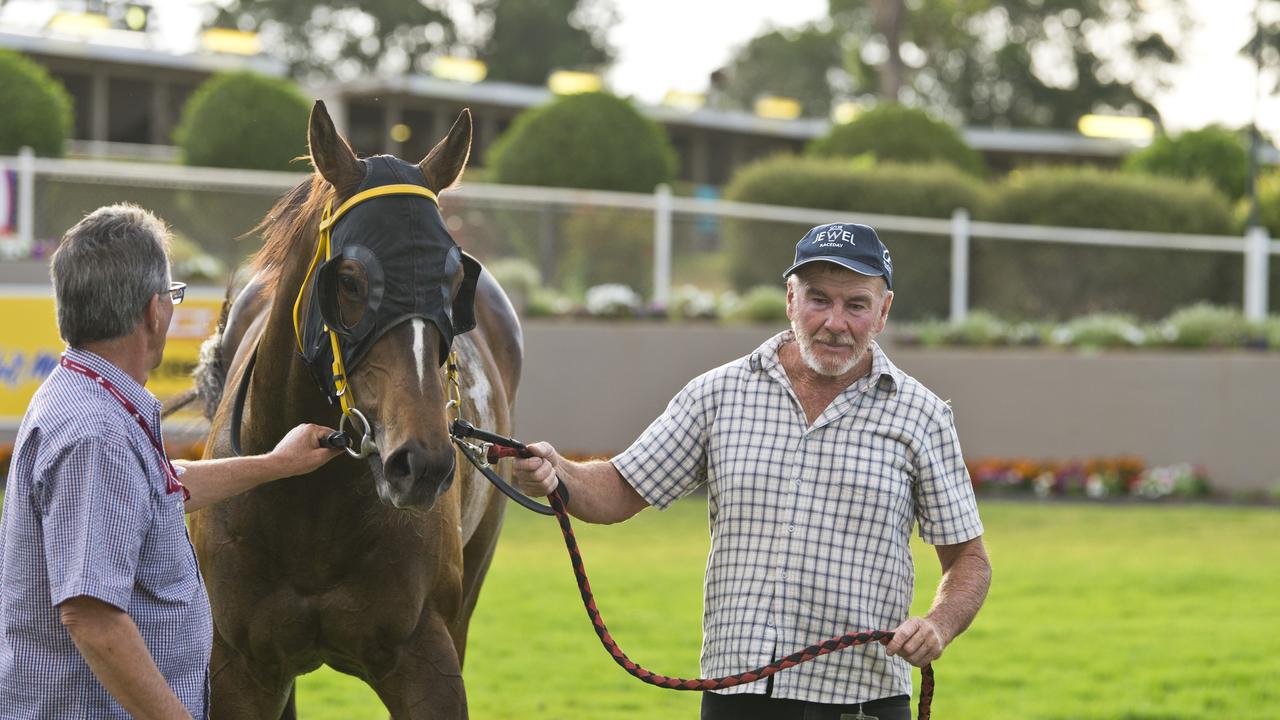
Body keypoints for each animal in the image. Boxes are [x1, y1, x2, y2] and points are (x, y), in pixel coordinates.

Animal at [186, 102, 517, 717]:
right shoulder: (237, 667)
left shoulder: (428, 657)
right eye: (349, 279)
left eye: (454, 280)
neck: (311, 511)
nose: (422, 463)